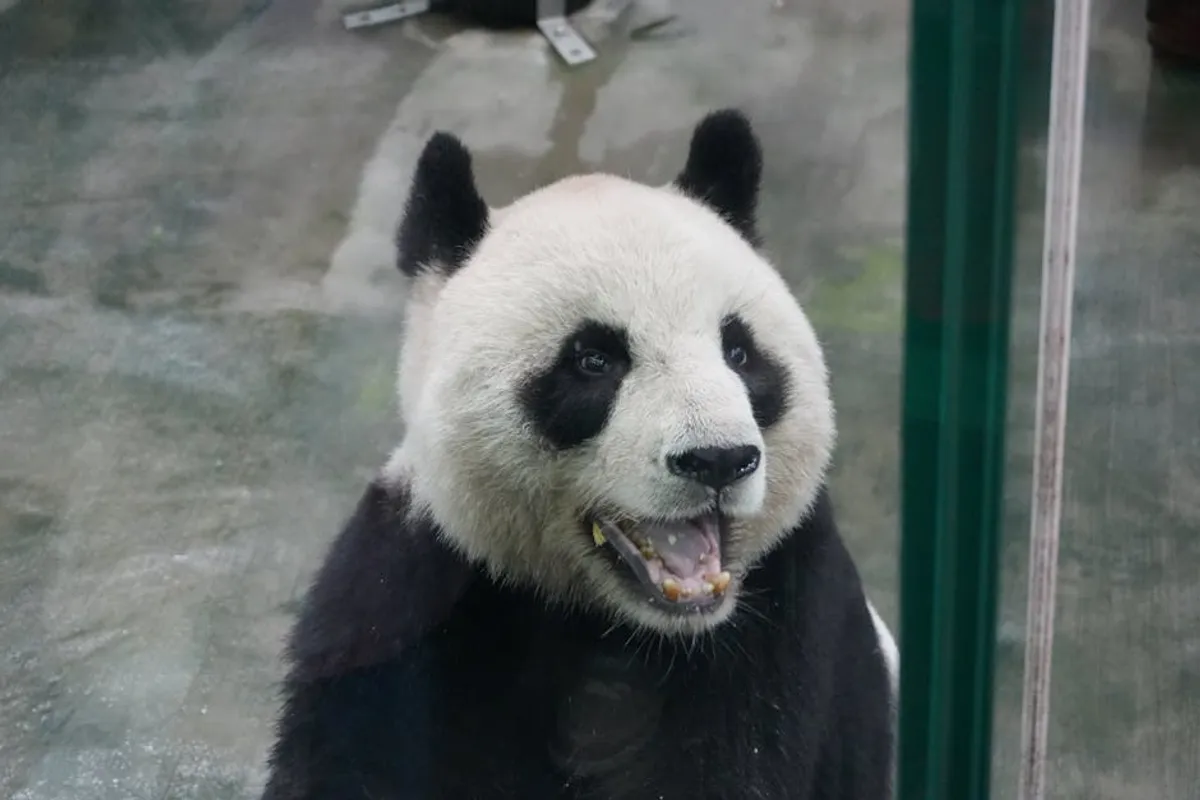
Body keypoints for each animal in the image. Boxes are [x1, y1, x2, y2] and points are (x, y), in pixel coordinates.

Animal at [261, 109, 899, 800]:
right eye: (594, 360)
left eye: (739, 352)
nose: (719, 460)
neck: (610, 617)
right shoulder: (410, 592)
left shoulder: (779, 621)